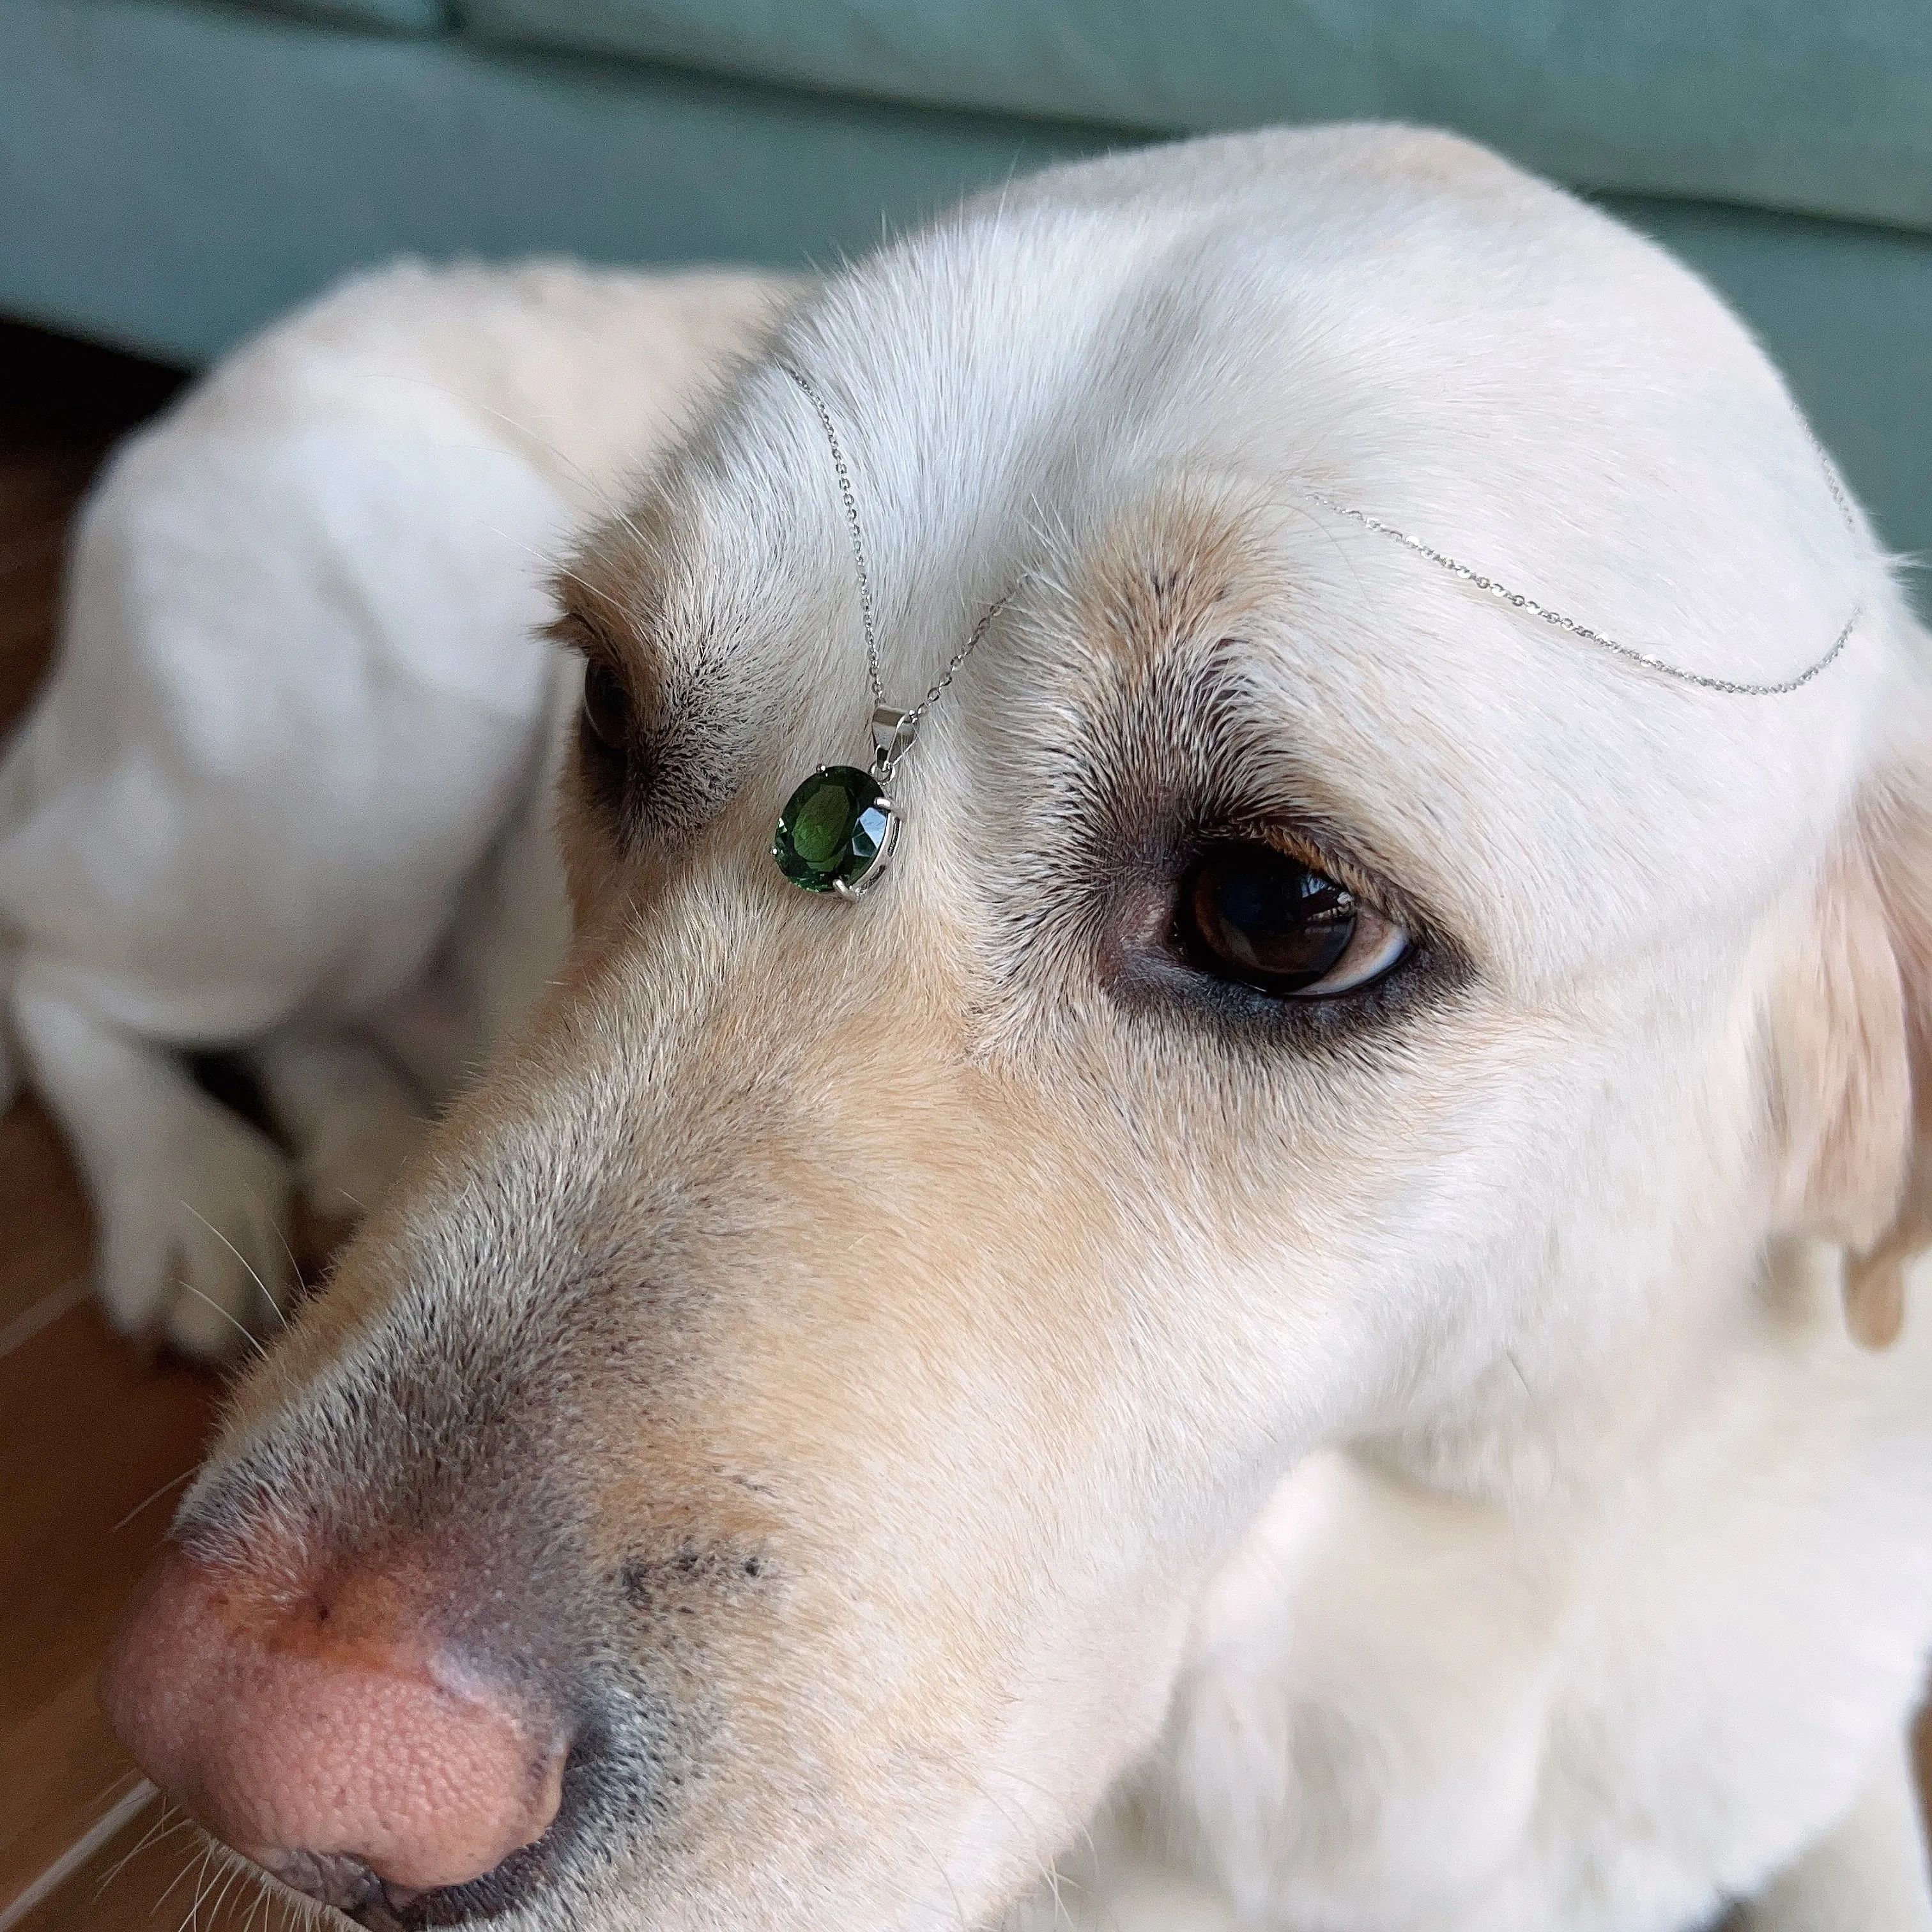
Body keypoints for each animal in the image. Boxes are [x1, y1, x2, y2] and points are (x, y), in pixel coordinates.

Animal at [11, 125, 1932, 1932]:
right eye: (610, 704)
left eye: (1283, 910)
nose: (231, 1750)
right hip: (354, 746)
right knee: (51, 935)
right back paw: (188, 1192)